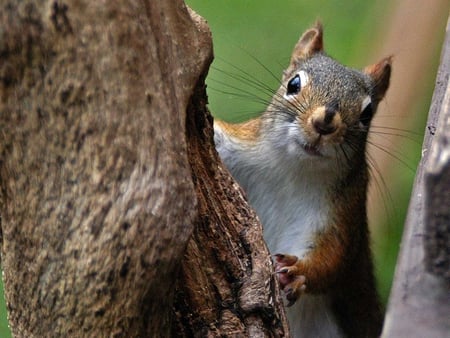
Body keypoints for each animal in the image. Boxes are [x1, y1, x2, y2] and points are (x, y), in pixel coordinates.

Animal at [213, 22, 392, 336]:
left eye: (368, 112)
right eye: (293, 84)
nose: (325, 121)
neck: (293, 168)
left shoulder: (344, 208)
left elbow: (333, 255)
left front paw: (298, 273)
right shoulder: (241, 146)